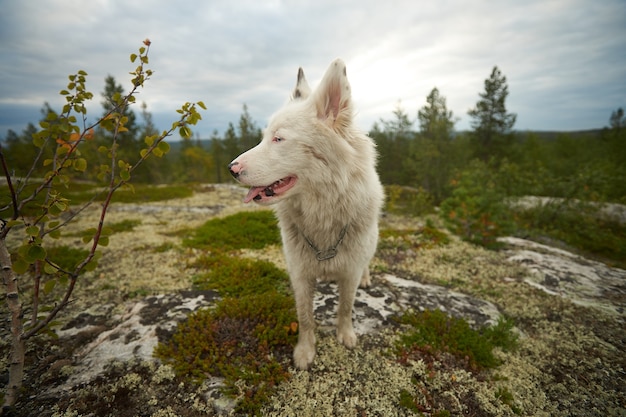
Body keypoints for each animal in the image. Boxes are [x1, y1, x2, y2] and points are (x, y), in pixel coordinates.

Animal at [227, 58, 382, 368]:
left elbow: (345, 307)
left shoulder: (349, 272)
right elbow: (305, 316)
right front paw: (305, 351)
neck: (322, 215)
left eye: (278, 139)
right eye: (264, 137)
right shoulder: (299, 275)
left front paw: (345, 335)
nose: (231, 169)